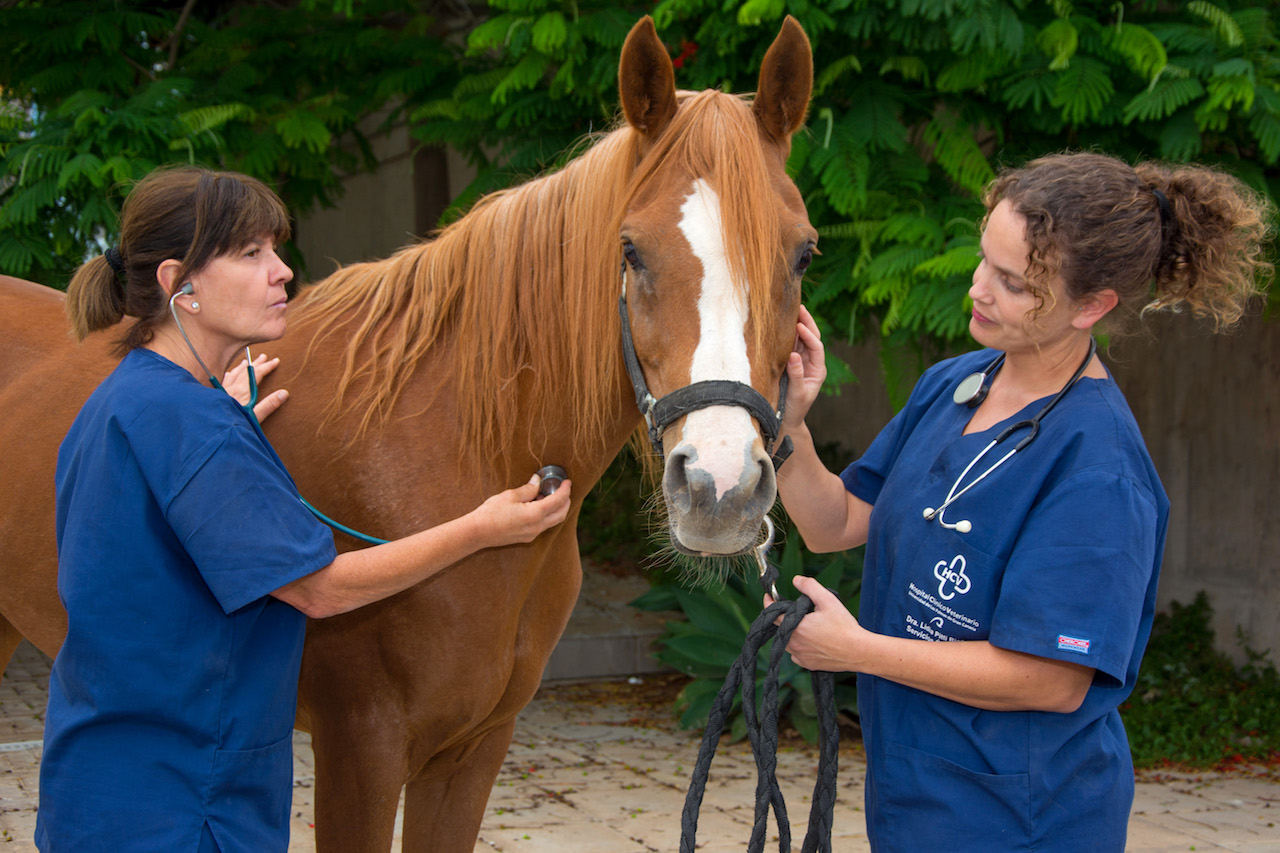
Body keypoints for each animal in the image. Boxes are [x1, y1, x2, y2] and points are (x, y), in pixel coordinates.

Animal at [0, 14, 819, 850]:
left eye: (803, 254)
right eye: (631, 250)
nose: (720, 487)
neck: (459, 447)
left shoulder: (473, 747)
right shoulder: (360, 746)